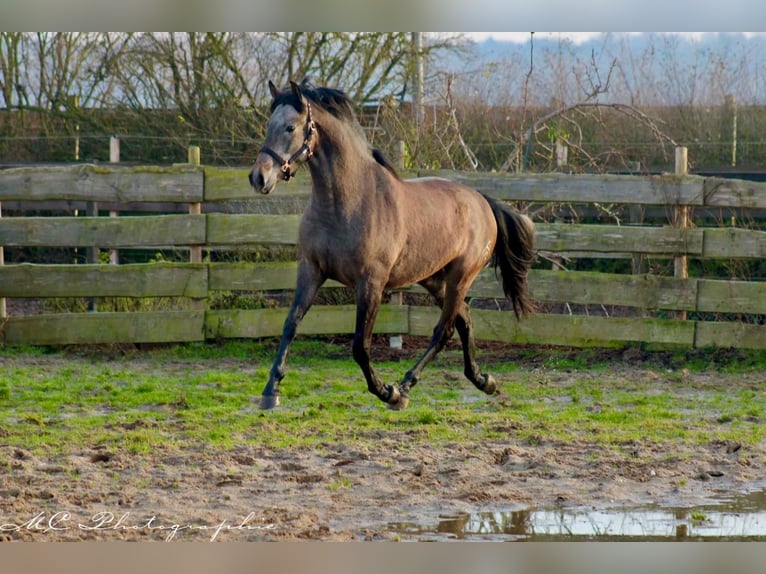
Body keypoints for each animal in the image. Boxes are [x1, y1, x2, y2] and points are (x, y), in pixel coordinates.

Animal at [249, 81, 536, 412]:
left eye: (290, 127)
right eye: (268, 126)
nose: (258, 178)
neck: (345, 204)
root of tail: (482, 201)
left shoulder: (371, 283)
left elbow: (360, 346)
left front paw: (388, 392)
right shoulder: (311, 271)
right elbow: (290, 325)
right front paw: (270, 391)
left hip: (460, 277)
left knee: (444, 330)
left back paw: (406, 386)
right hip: (434, 279)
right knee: (463, 319)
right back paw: (482, 380)